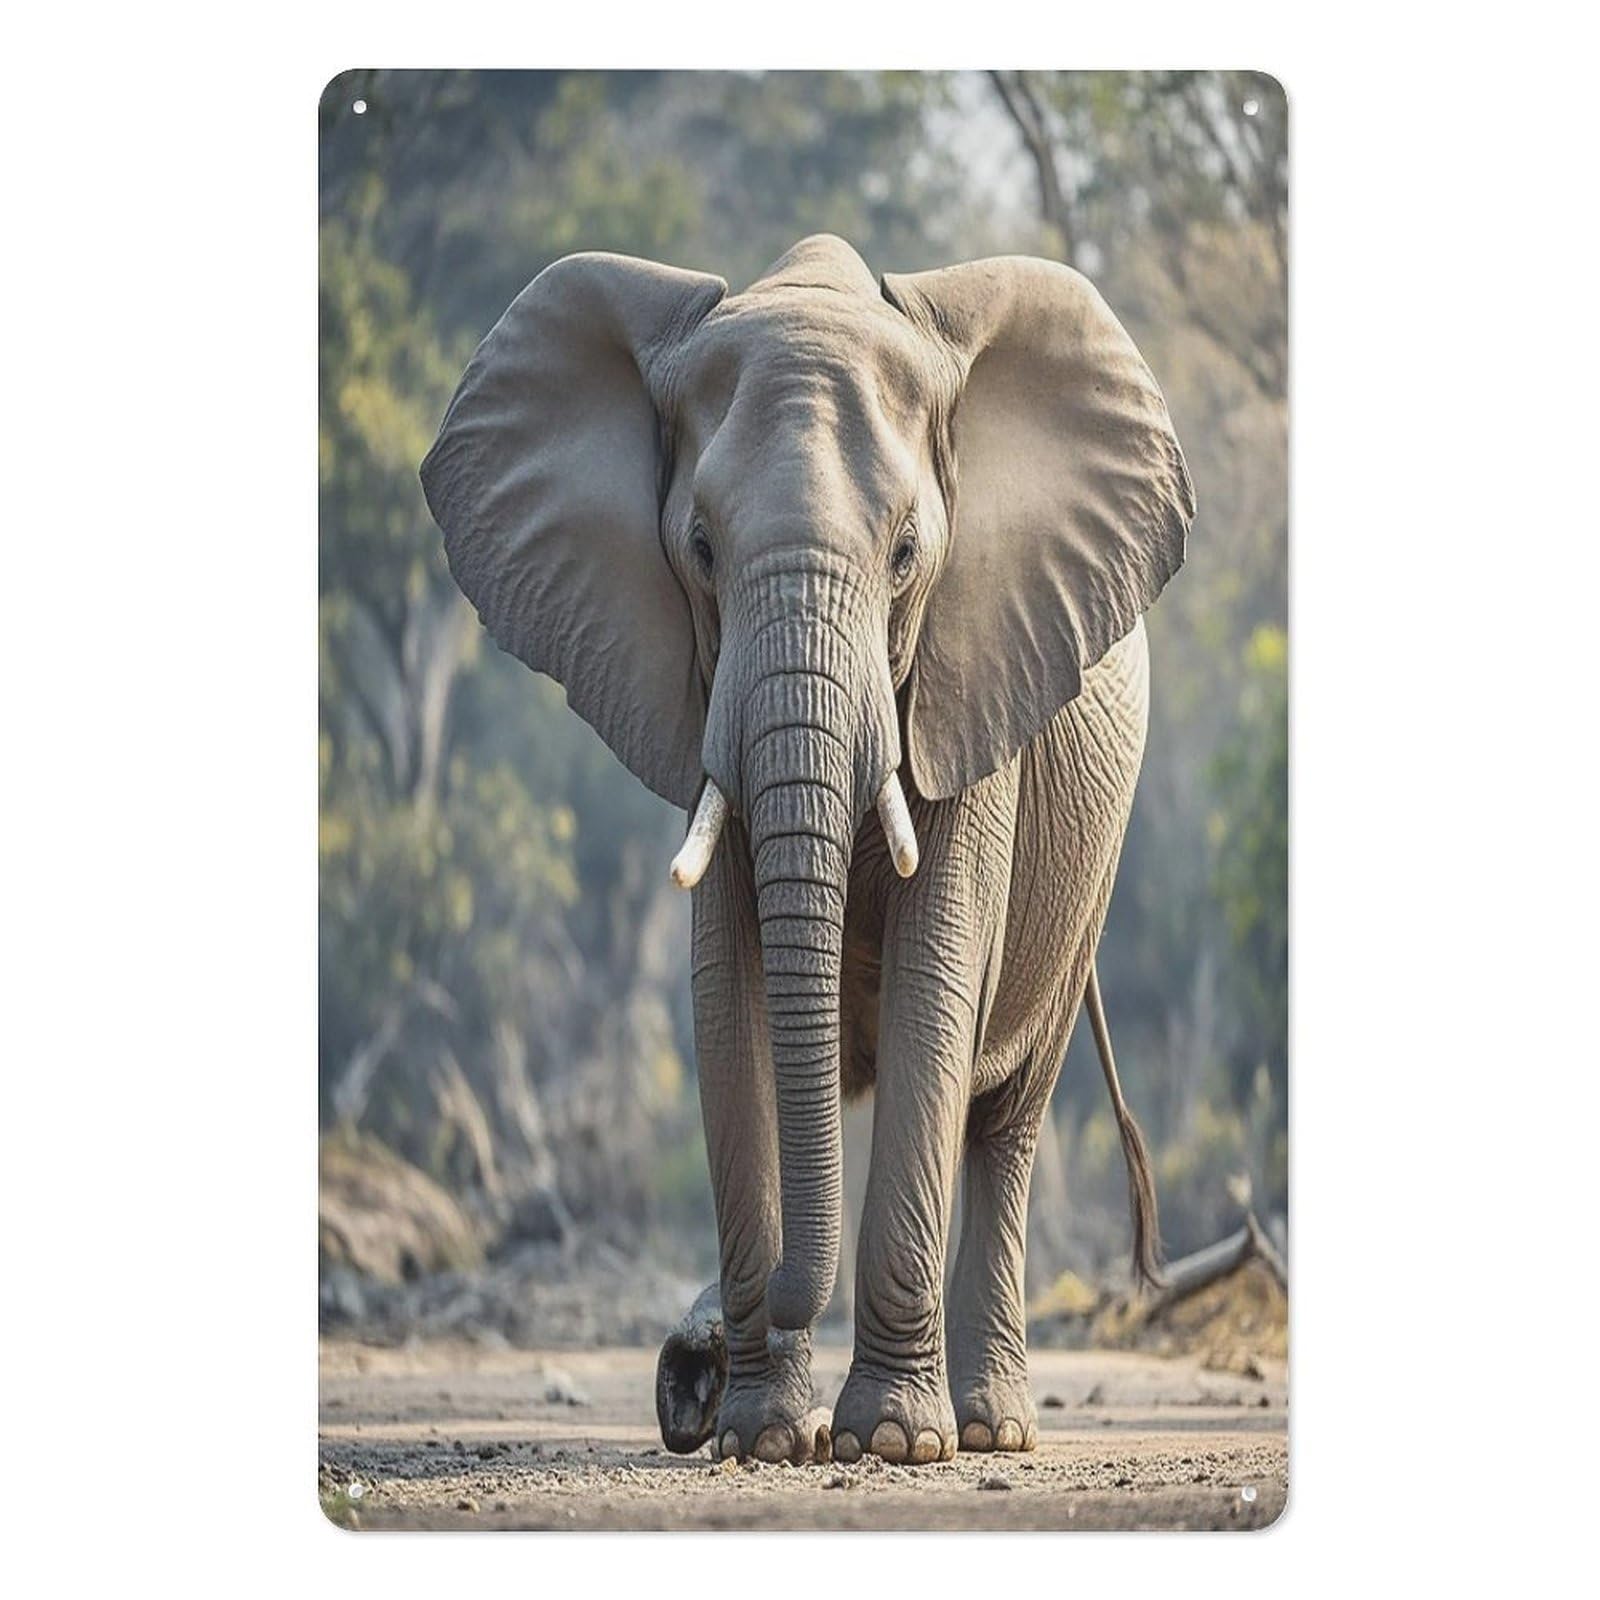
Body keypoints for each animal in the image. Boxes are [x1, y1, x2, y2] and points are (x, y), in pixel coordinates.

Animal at [421, 233, 1194, 1467]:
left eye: (908, 553)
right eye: (697, 548)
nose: (683, 1372)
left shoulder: (972, 679)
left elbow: (938, 980)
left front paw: (892, 1443)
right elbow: (726, 995)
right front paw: (766, 1439)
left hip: (1094, 855)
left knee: (1006, 1117)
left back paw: (990, 1429)